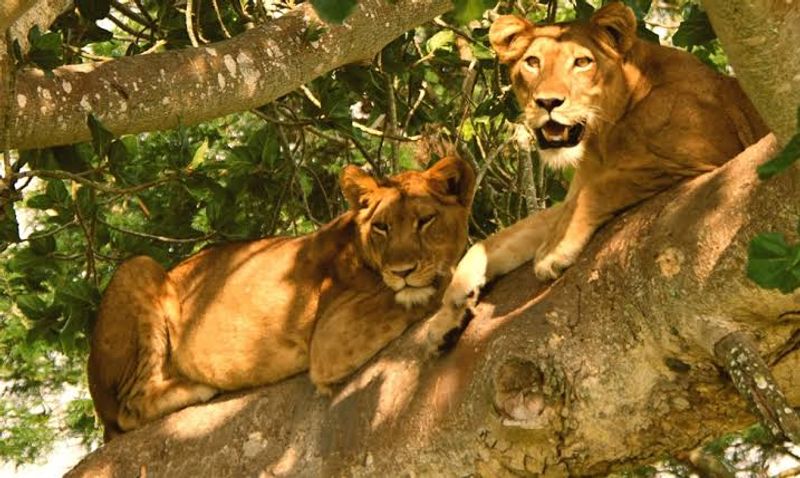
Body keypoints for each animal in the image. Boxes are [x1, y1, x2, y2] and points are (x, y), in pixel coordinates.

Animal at [87, 156, 476, 440]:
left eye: (425, 220)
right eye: (382, 227)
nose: (402, 271)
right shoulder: (331, 339)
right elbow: (434, 286)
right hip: (138, 267)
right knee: (129, 408)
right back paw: (198, 387)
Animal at [424, 0, 768, 348]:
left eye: (582, 62)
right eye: (532, 62)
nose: (548, 102)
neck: (603, 136)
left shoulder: (705, 157)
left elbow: (602, 188)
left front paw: (553, 251)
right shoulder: (573, 193)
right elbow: (504, 237)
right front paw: (450, 306)